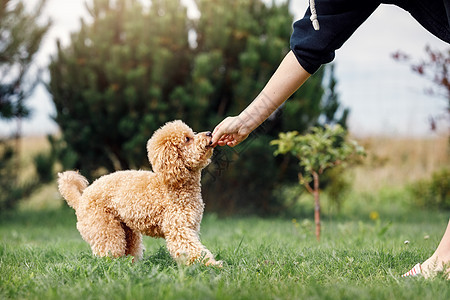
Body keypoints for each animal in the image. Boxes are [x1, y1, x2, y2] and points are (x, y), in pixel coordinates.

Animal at [59, 119, 221, 264]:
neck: (174, 185)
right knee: (109, 251)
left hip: (127, 230)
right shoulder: (178, 228)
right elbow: (190, 249)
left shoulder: (190, 226)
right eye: (187, 139)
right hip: (104, 227)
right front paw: (210, 265)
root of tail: (81, 199)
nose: (209, 133)